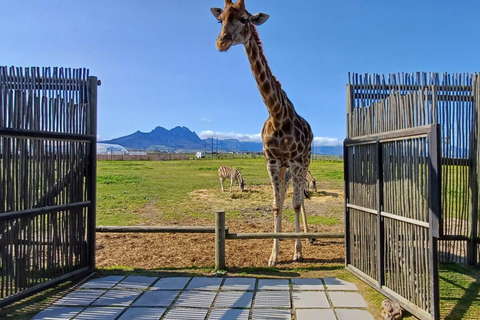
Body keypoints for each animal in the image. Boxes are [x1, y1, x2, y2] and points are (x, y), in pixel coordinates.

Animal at [211, 0, 316, 266]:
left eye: (245, 19)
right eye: (220, 19)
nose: (221, 42)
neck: (278, 114)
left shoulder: (296, 161)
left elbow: (296, 203)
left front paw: (297, 252)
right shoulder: (272, 161)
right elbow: (277, 205)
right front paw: (273, 256)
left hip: (303, 162)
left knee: (299, 198)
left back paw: (306, 239)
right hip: (284, 168)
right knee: (287, 196)